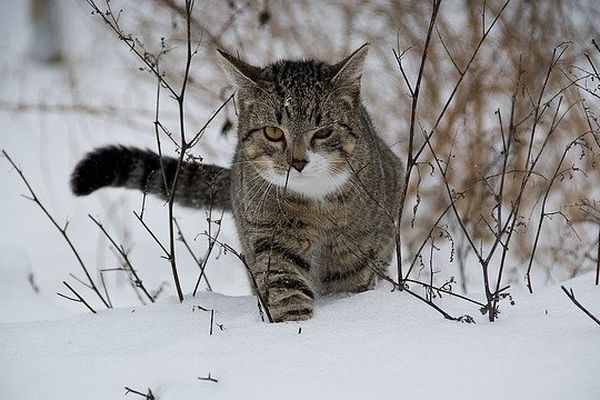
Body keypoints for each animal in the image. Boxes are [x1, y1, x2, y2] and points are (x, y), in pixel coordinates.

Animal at [72, 44, 406, 322]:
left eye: (323, 131)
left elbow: (349, 284)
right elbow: (284, 285)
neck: (315, 202)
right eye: (273, 132)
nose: (297, 162)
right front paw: (295, 328)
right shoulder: (270, 236)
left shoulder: (354, 250)